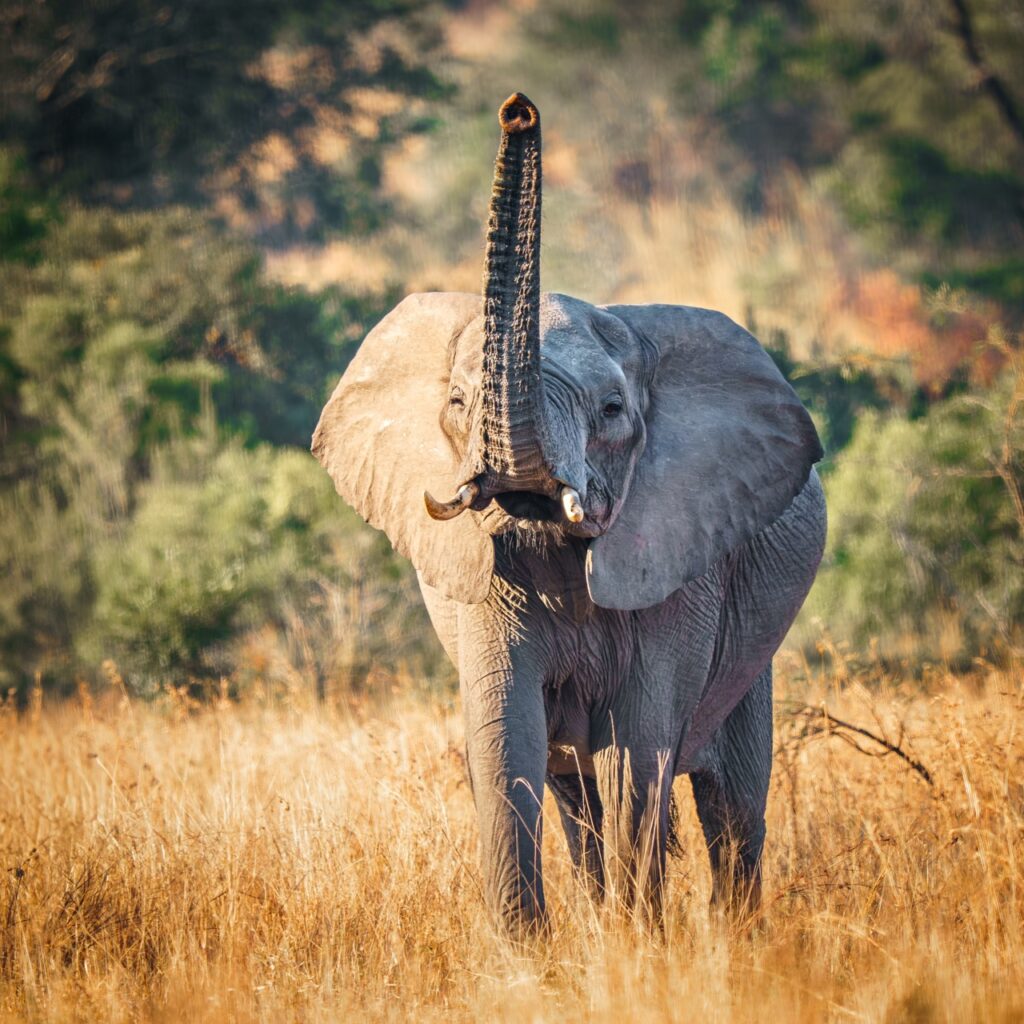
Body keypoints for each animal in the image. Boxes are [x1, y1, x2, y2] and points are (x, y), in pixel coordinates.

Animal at [312, 93, 826, 934]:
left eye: (613, 411)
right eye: (457, 404)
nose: (518, 111)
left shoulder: (681, 563)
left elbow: (639, 753)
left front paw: (638, 943)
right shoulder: (489, 585)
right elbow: (504, 745)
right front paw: (533, 951)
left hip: (755, 643)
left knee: (731, 801)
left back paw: (736, 936)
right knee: (575, 796)